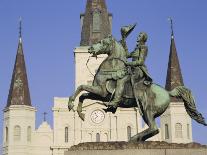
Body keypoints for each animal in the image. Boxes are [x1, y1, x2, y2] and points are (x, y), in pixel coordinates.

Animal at [68, 34, 207, 142]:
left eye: (102, 42)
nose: (90, 48)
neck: (111, 68)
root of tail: (168, 92)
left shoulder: (101, 92)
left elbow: (81, 87)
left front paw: (71, 104)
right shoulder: (100, 95)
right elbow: (82, 94)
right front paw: (79, 112)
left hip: (147, 110)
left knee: (154, 128)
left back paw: (133, 137)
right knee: (152, 129)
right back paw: (136, 138)